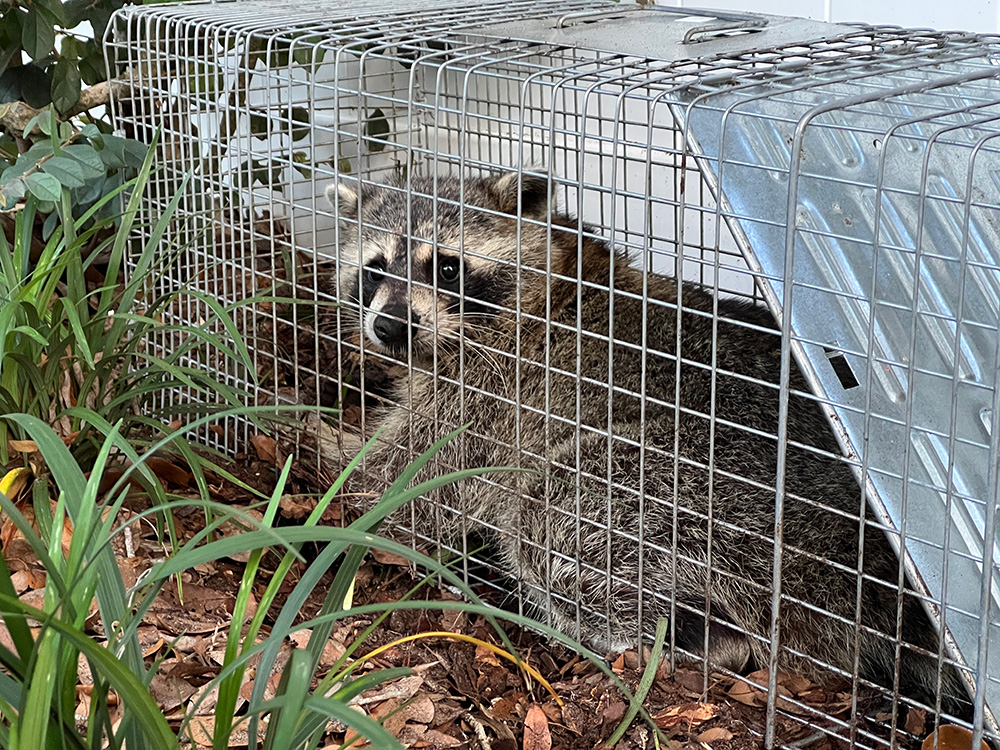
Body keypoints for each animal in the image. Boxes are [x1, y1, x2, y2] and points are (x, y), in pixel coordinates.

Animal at [322, 170, 970, 717]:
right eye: (375, 269)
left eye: (448, 269)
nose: (389, 325)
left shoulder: (489, 400)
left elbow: (403, 489)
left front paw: (322, 450)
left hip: (684, 484)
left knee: (548, 517)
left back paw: (678, 636)